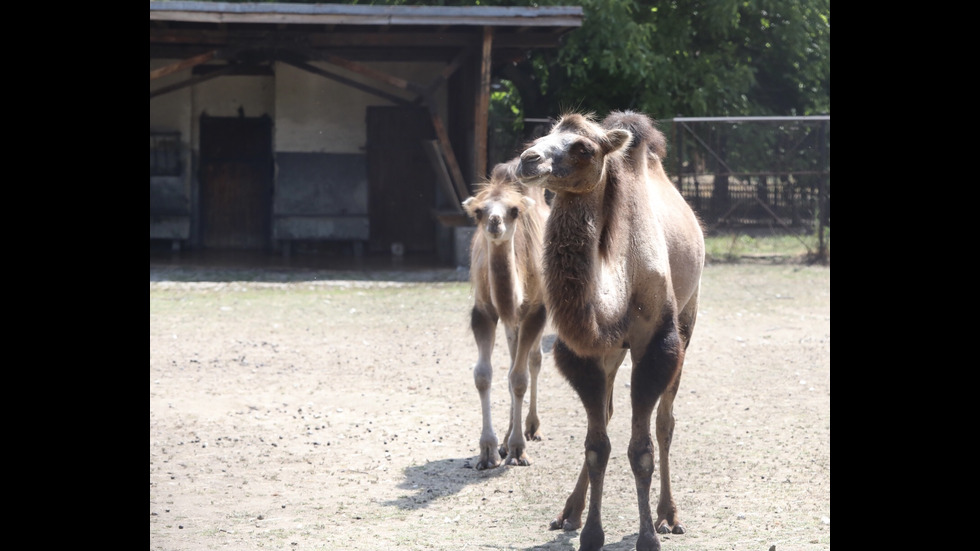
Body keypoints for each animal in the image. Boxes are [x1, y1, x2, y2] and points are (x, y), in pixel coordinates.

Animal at [462, 158, 548, 470]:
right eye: (479, 211)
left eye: (514, 211)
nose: (495, 221)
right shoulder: (484, 312)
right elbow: (483, 375)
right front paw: (488, 450)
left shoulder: (535, 310)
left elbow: (520, 377)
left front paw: (518, 449)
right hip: (511, 322)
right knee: (513, 360)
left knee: (533, 360)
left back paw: (531, 428)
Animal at [512, 112, 704, 551]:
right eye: (543, 134)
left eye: (583, 147)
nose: (528, 160)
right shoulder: (587, 352)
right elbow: (597, 445)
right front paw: (590, 533)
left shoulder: (656, 342)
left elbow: (642, 449)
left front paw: (648, 536)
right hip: (615, 351)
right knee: (608, 414)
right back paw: (570, 512)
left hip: (688, 317)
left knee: (665, 421)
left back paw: (668, 515)